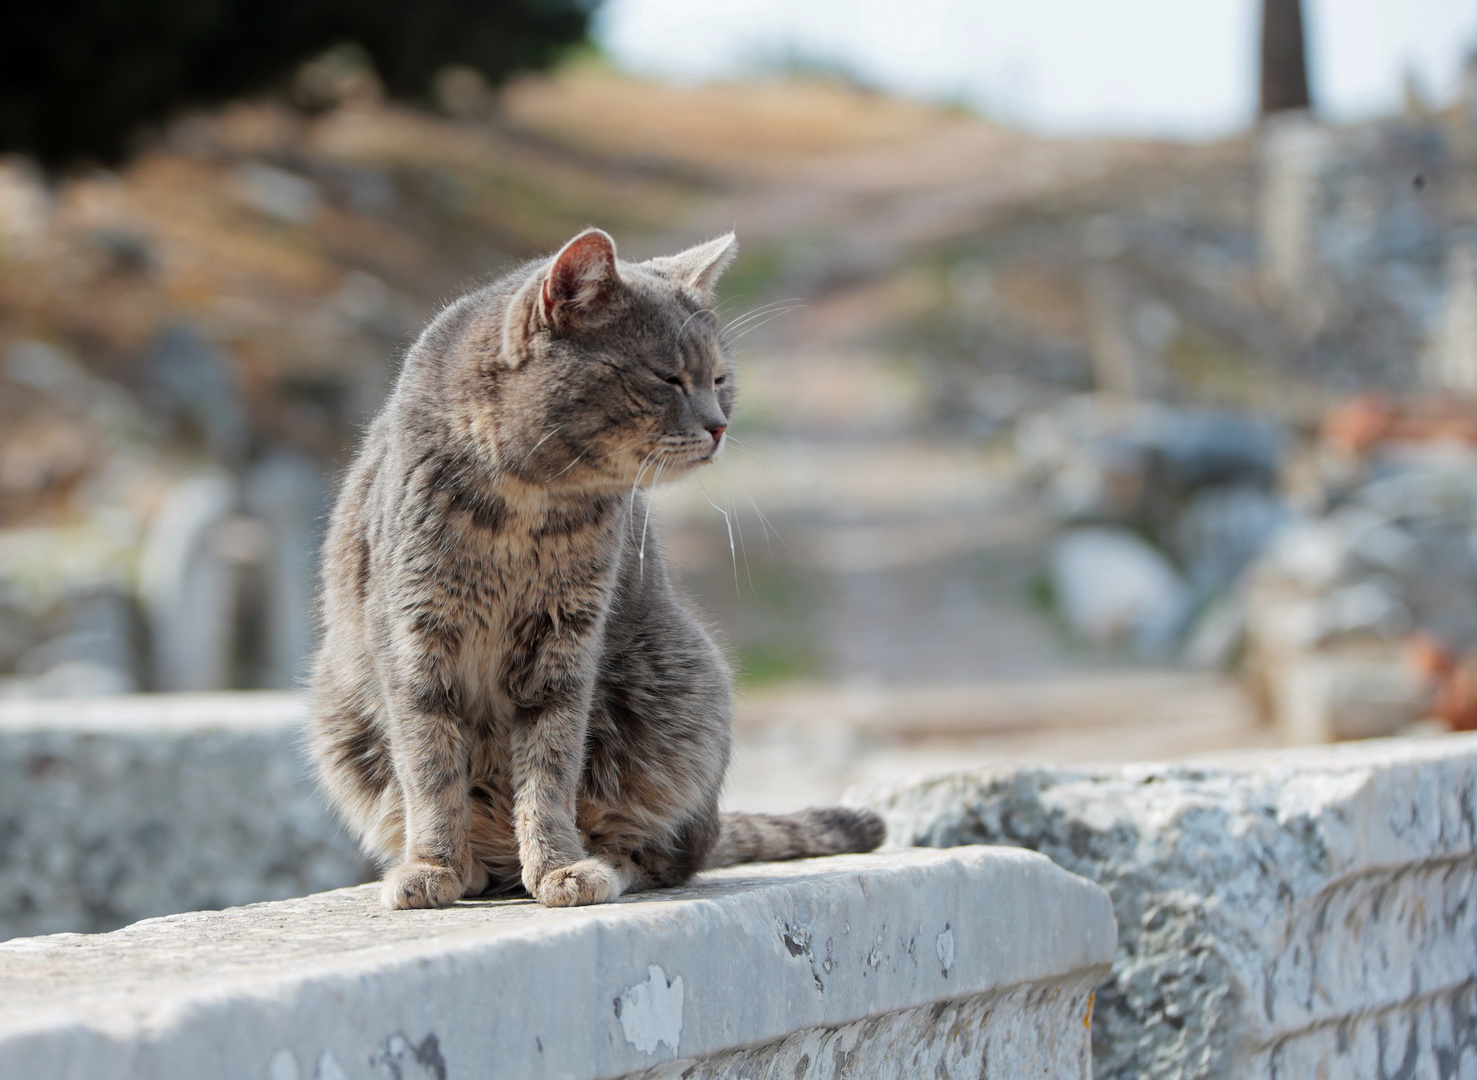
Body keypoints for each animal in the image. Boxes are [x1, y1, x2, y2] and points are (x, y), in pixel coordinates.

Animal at [308, 230, 874, 910]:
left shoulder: (566, 643)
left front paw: (558, 865)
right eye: (667, 377)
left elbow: (550, 768)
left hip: (683, 690)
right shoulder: (414, 636)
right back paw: (472, 867)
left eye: (719, 379)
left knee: (669, 853)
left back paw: (599, 862)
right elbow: (430, 766)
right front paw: (433, 865)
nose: (719, 425)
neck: (527, 507)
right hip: (341, 714)